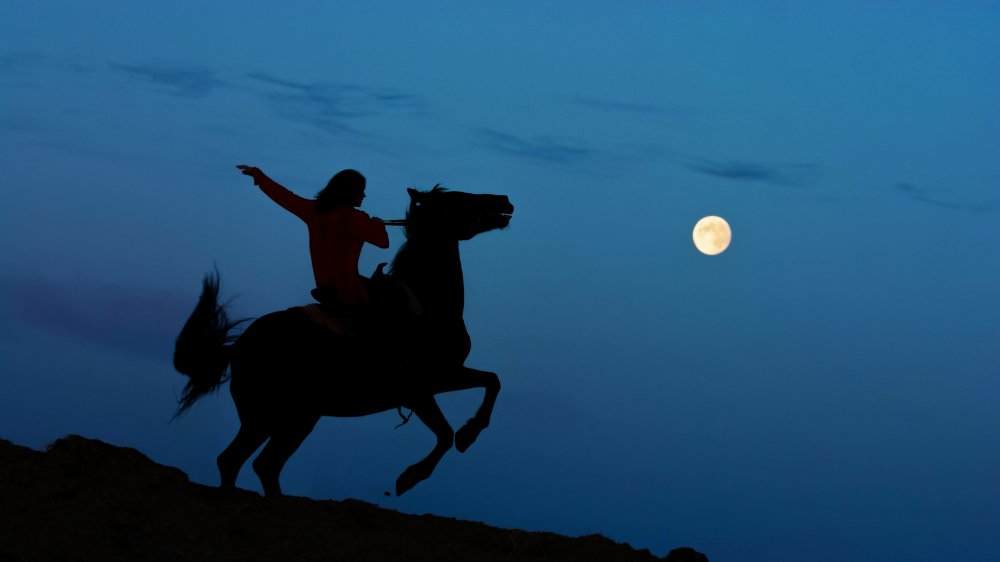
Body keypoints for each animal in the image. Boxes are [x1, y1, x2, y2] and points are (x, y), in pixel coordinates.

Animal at [172, 185, 512, 494]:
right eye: (457, 199)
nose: (504, 200)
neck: (428, 305)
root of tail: (237, 349)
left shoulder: (444, 376)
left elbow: (492, 380)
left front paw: (469, 433)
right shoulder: (419, 389)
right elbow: (445, 433)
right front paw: (413, 475)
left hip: (297, 418)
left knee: (259, 463)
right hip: (268, 417)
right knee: (239, 461)